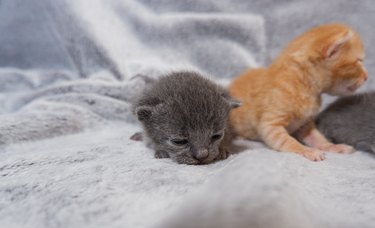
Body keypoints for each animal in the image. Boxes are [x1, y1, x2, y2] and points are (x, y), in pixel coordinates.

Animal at [229, 23, 368, 160]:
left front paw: (333, 147)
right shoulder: (270, 125)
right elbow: (288, 141)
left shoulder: (305, 124)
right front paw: (306, 150)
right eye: (359, 61)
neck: (304, 85)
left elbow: (318, 138)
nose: (367, 77)